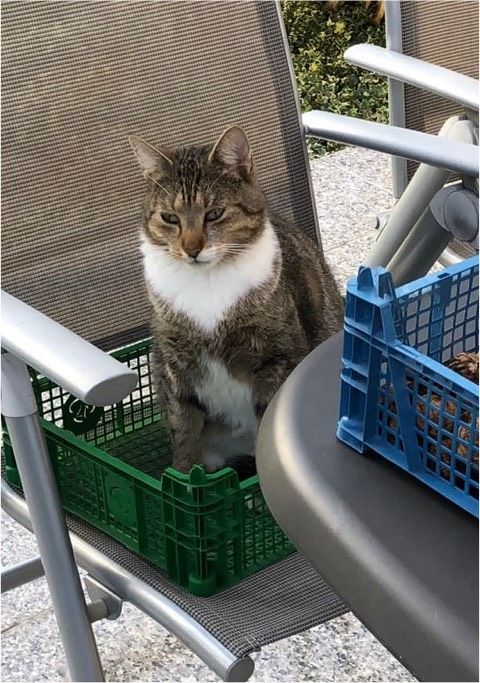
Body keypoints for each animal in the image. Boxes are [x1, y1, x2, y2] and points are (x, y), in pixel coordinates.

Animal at [129, 125, 344, 476]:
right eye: (170, 218)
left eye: (214, 214)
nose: (191, 249)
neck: (207, 284)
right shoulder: (176, 369)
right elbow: (184, 434)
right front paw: (182, 481)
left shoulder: (275, 359)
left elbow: (267, 416)